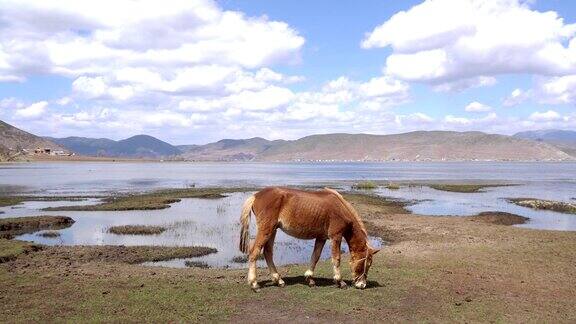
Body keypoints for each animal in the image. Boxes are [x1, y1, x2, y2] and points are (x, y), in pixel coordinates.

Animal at [236, 186, 380, 292]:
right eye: (367, 263)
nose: (362, 285)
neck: (340, 208)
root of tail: (255, 196)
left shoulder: (321, 237)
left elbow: (315, 256)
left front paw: (310, 279)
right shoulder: (336, 236)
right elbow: (336, 259)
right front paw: (340, 281)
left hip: (273, 230)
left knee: (267, 252)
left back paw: (278, 280)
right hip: (266, 230)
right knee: (254, 252)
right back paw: (254, 284)